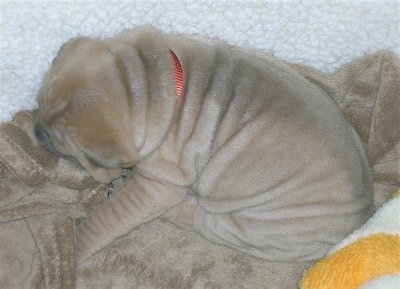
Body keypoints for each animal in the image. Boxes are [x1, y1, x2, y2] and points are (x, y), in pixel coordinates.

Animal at [35, 25, 376, 262]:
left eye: (61, 141)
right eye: (38, 102)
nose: (37, 130)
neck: (145, 82)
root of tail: (362, 216)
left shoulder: (159, 184)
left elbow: (107, 218)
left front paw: (78, 245)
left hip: (257, 227)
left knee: (200, 219)